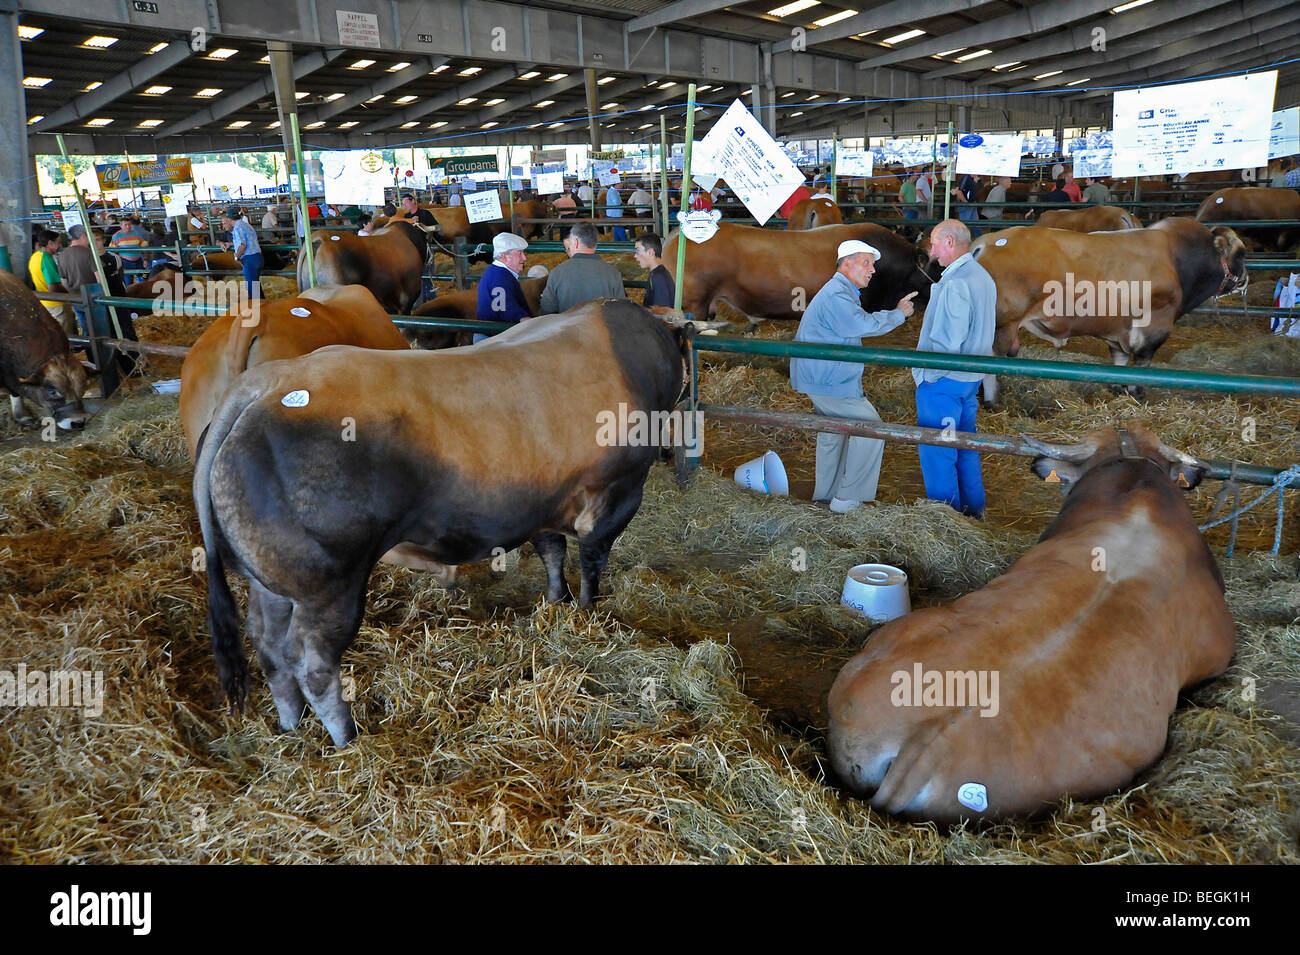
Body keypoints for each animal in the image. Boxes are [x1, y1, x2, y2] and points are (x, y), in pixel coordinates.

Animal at [194, 298, 683, 746]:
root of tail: (264, 384)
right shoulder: (618, 491)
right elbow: (592, 558)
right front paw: (586, 610)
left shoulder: (544, 499)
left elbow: (552, 551)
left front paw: (555, 600)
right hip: (329, 583)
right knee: (312, 663)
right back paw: (348, 738)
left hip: (271, 580)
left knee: (269, 647)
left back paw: (291, 725)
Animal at [970, 218, 1248, 401]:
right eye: (1242, 254)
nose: (1245, 280)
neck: (1176, 259)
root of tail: (985, 244)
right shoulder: (1154, 329)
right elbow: (1142, 364)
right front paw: (1137, 393)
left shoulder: (1118, 331)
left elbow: (1120, 361)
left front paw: (1118, 389)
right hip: (1002, 326)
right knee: (988, 363)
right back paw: (993, 400)